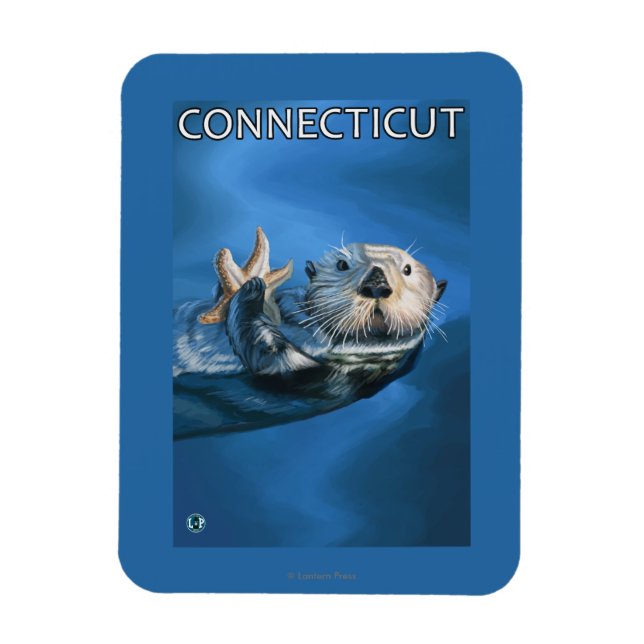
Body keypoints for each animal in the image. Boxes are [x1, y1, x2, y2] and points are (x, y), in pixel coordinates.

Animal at [173, 230, 447, 438]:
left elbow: (271, 357)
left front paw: (251, 288)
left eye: (408, 269)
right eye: (342, 264)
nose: (376, 285)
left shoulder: (323, 378)